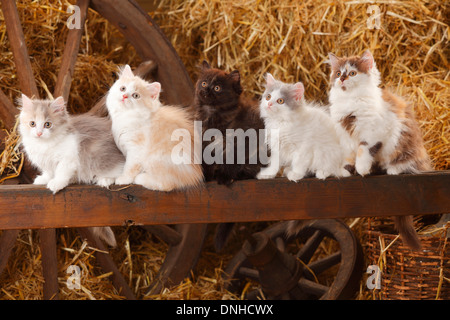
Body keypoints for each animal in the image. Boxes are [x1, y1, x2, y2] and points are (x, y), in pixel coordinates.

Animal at [106, 63, 203, 191]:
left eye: (135, 95)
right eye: (123, 88)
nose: (125, 96)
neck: (125, 116)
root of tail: (194, 176)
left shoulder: (136, 150)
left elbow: (129, 167)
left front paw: (123, 179)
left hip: (157, 160)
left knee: (166, 184)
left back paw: (140, 178)